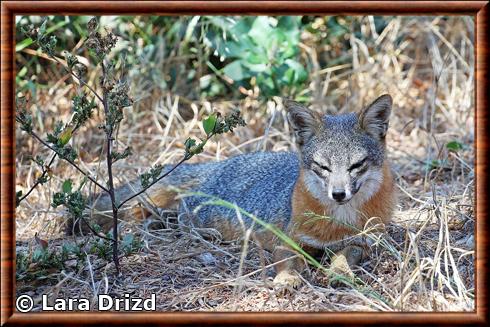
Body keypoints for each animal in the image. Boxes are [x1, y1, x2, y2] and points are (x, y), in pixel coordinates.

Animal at [76, 93, 398, 288]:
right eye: (323, 167)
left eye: (356, 165)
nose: (339, 194)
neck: (337, 220)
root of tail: (218, 164)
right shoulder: (284, 239)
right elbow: (288, 262)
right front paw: (287, 280)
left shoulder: (362, 242)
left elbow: (345, 256)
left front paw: (340, 272)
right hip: (200, 217)